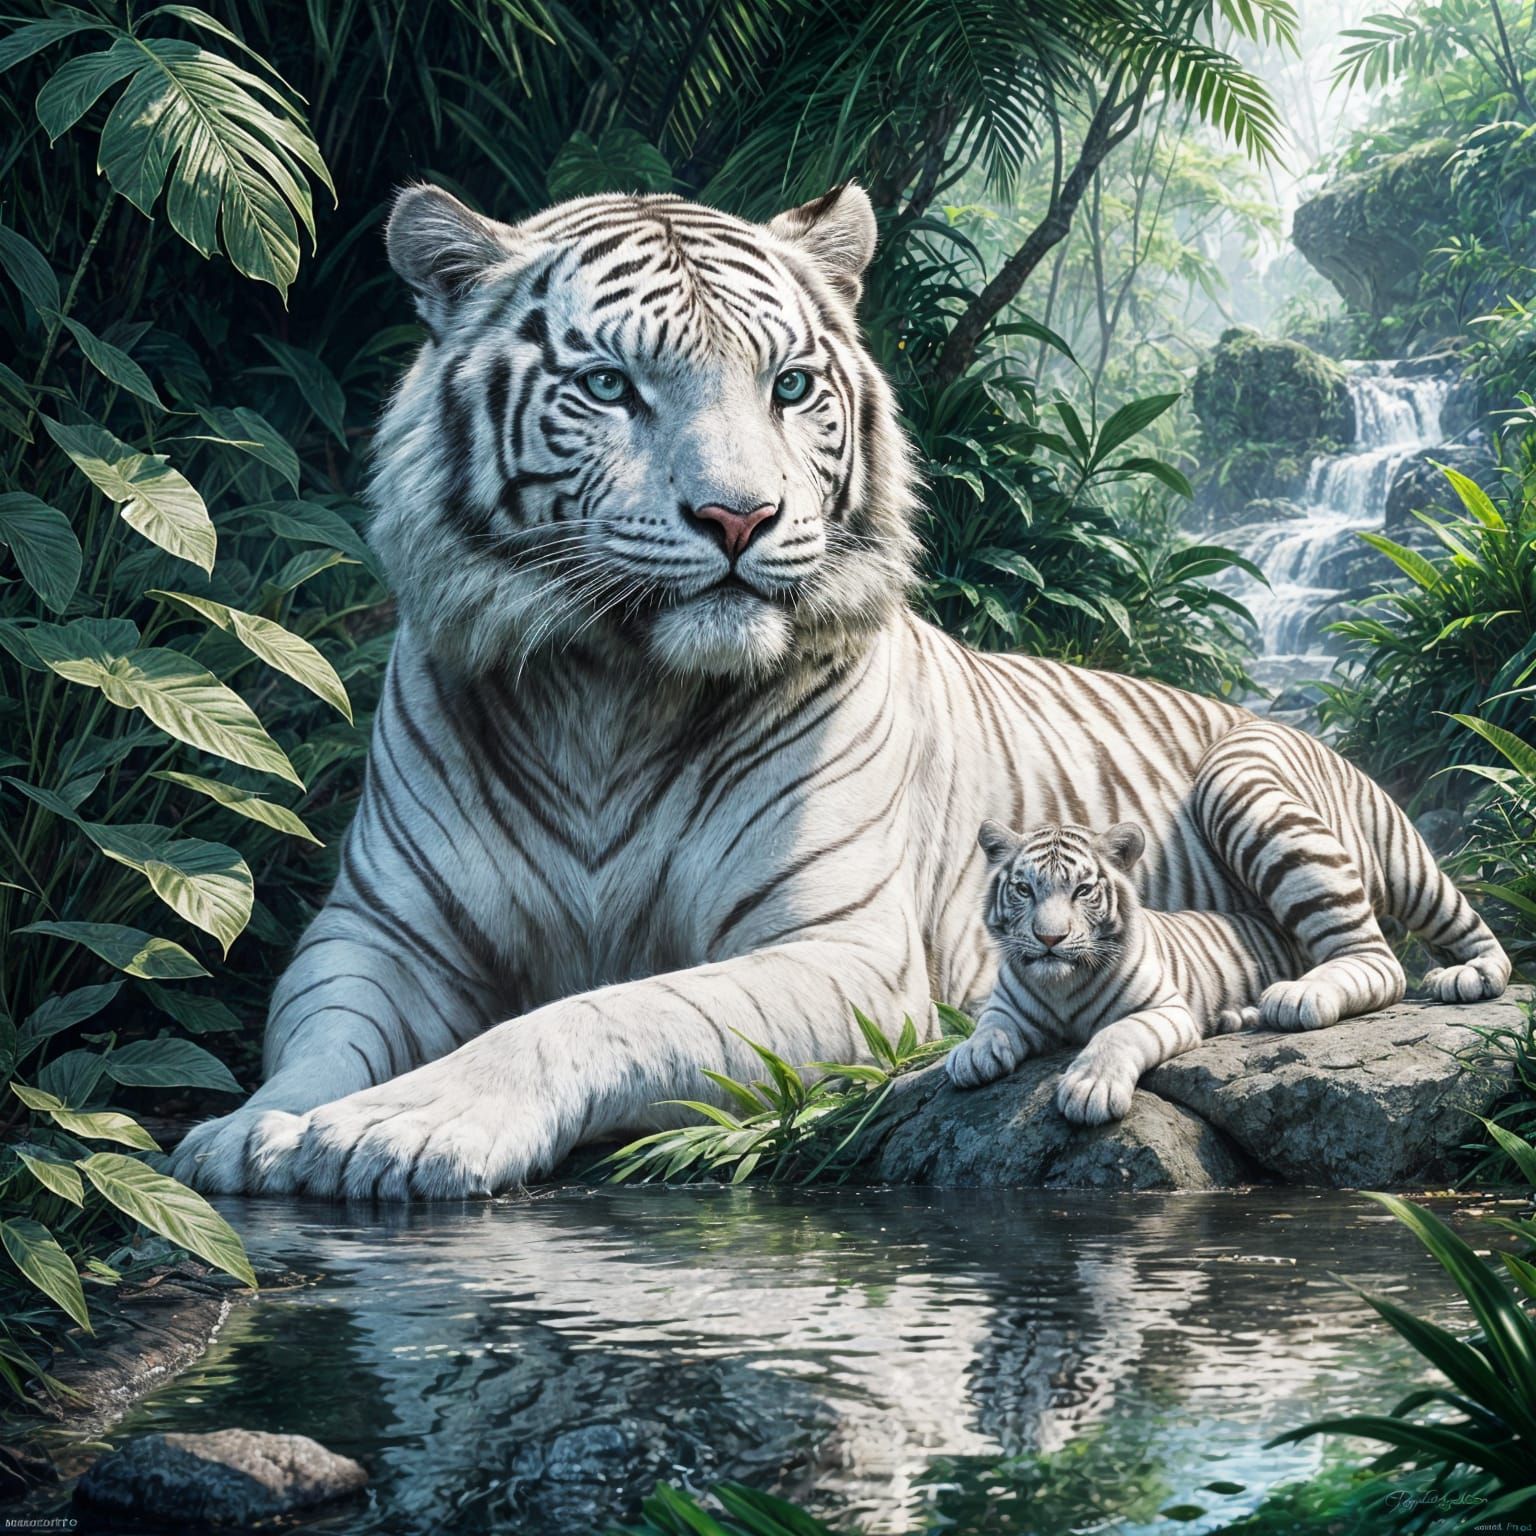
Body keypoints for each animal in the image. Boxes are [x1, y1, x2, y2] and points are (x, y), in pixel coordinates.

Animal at [947, 819, 1302, 1124]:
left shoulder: (1166, 1008)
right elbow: (991, 1024)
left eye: (1082, 890)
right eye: (1024, 890)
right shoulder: (1006, 1007)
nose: (1049, 937)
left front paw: (1090, 1088)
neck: (1061, 986)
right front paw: (970, 1054)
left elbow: (1118, 1032)